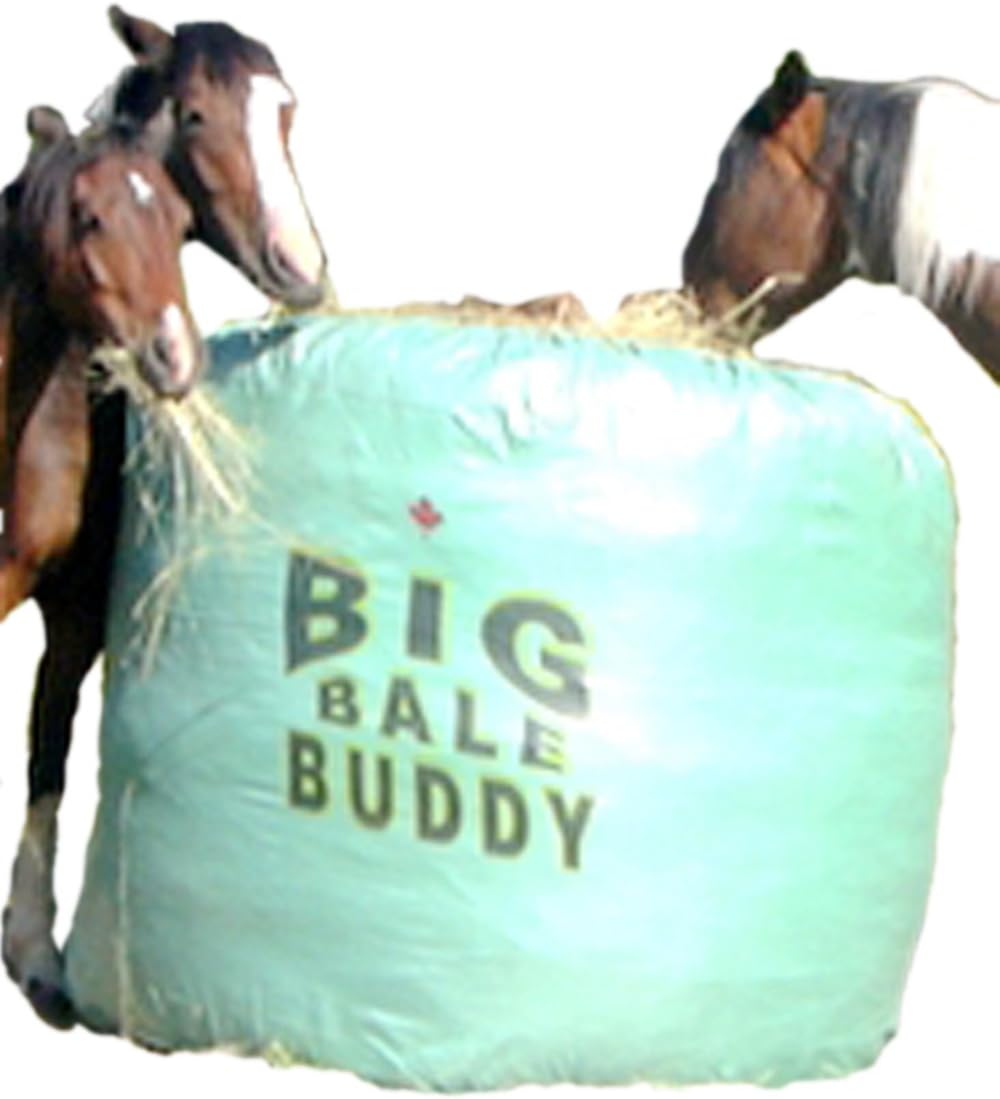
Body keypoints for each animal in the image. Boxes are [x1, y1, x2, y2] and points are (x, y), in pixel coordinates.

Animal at [3, 8, 329, 1029]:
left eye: (287, 112)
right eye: (193, 114)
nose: (303, 268)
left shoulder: (74, 615)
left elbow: (47, 756)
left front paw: (37, 957)